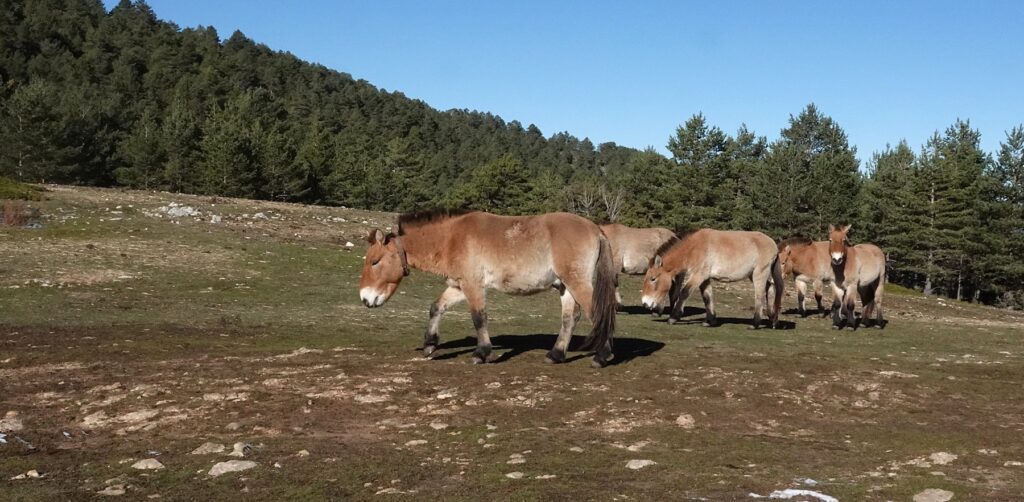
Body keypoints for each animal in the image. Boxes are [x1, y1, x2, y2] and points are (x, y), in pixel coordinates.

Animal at [358, 210, 618, 367]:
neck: (451, 239)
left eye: (374, 262)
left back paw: (602, 356)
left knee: (597, 314)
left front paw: (481, 353)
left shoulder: (473, 285)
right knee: (569, 318)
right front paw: (430, 345)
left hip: (576, 282)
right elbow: (436, 308)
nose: (365, 298)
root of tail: (596, 229)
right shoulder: (458, 286)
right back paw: (556, 355)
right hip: (564, 286)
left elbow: (479, 318)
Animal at [640, 229, 783, 329]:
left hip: (759, 274)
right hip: (756, 275)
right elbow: (707, 297)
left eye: (653, 279)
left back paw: (755, 324)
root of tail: (774, 245)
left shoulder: (698, 276)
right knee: (770, 289)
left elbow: (684, 293)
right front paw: (710, 321)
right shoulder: (705, 279)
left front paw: (673, 318)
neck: (694, 248)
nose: (645, 303)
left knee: (759, 296)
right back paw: (772, 320)